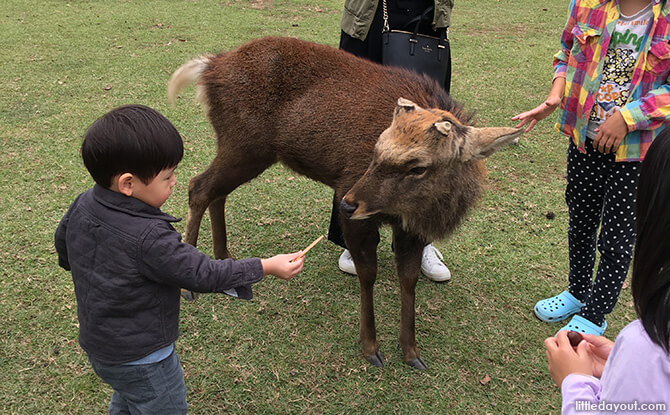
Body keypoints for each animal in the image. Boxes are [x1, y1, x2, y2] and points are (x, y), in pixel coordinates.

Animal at [169, 36, 524, 370]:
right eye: (375, 150)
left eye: (418, 167)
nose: (347, 205)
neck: (419, 212)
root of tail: (210, 67)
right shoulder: (354, 200)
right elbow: (368, 273)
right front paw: (371, 348)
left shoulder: (412, 229)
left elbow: (408, 279)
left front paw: (411, 352)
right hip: (244, 144)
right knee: (198, 186)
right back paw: (189, 286)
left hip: (244, 150)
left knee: (216, 192)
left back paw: (225, 260)